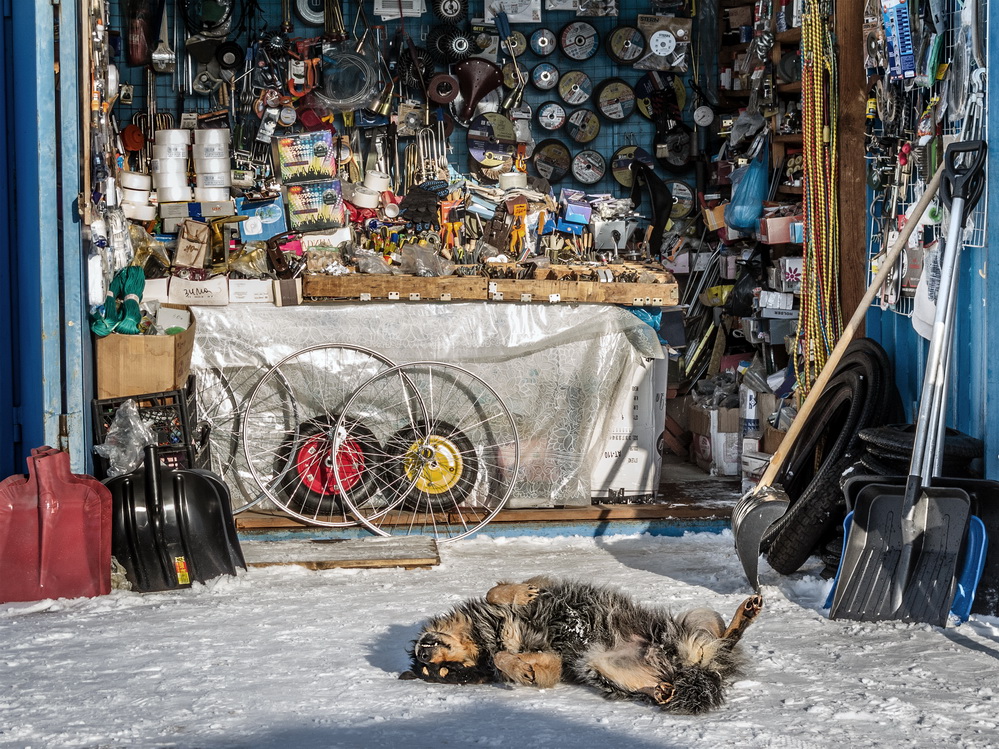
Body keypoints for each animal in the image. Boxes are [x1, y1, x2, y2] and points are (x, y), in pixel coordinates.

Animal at [402, 580, 760, 712]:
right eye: (445, 672)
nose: (423, 653)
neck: (485, 635)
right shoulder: (554, 663)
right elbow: (508, 657)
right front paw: (519, 667)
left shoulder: (543, 586)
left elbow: (498, 591)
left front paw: (519, 594)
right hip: (598, 665)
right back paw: (660, 691)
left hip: (699, 616)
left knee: (725, 638)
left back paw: (746, 613)